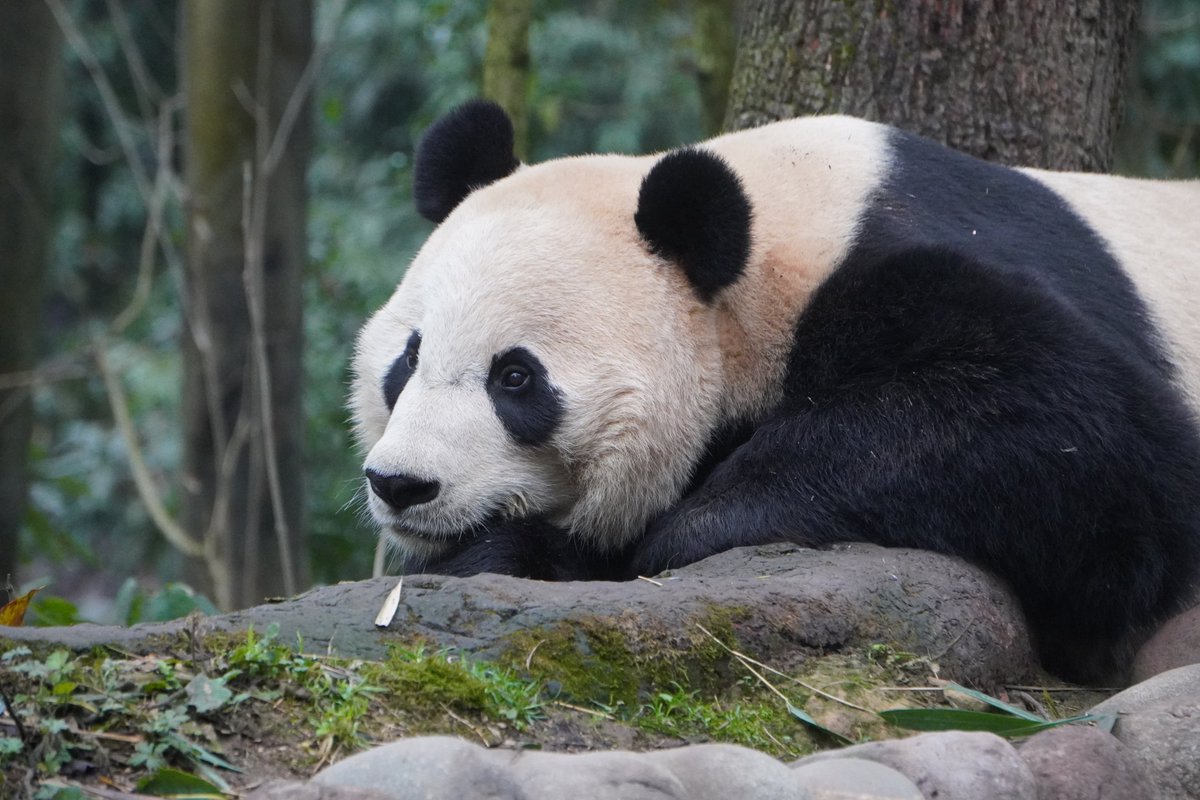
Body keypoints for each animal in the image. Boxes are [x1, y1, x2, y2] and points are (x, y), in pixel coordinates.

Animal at [351, 100, 1200, 683]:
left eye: (516, 377)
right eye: (409, 358)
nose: (401, 484)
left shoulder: (914, 269)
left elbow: (1094, 443)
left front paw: (680, 532)